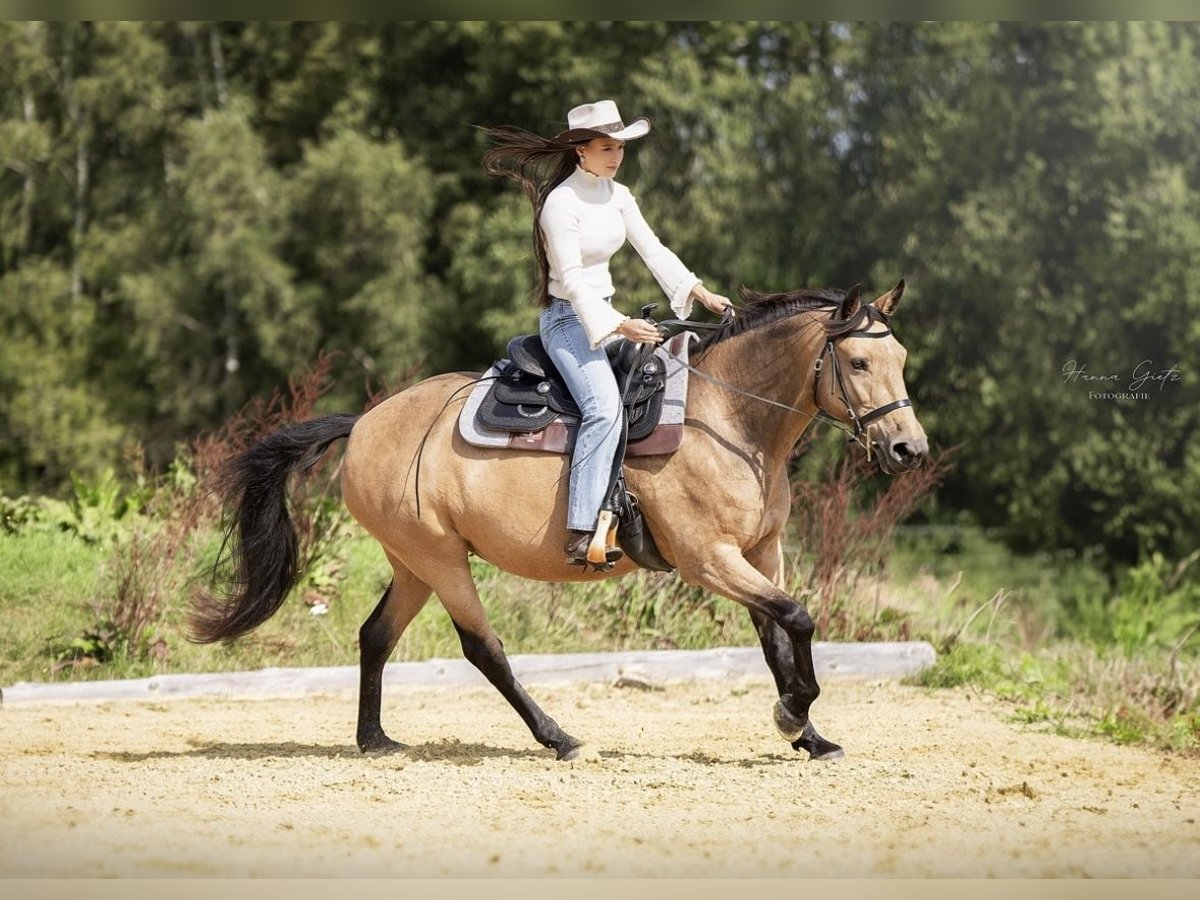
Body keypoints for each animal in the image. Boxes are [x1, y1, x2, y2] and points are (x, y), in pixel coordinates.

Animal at [194, 280, 926, 763]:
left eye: (901, 361)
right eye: (858, 362)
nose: (908, 449)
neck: (727, 420)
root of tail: (366, 422)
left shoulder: (759, 553)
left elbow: (778, 636)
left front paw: (809, 735)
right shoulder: (708, 558)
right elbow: (797, 618)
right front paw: (794, 713)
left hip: (413, 563)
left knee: (375, 636)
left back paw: (374, 739)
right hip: (440, 560)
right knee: (483, 649)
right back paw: (559, 738)